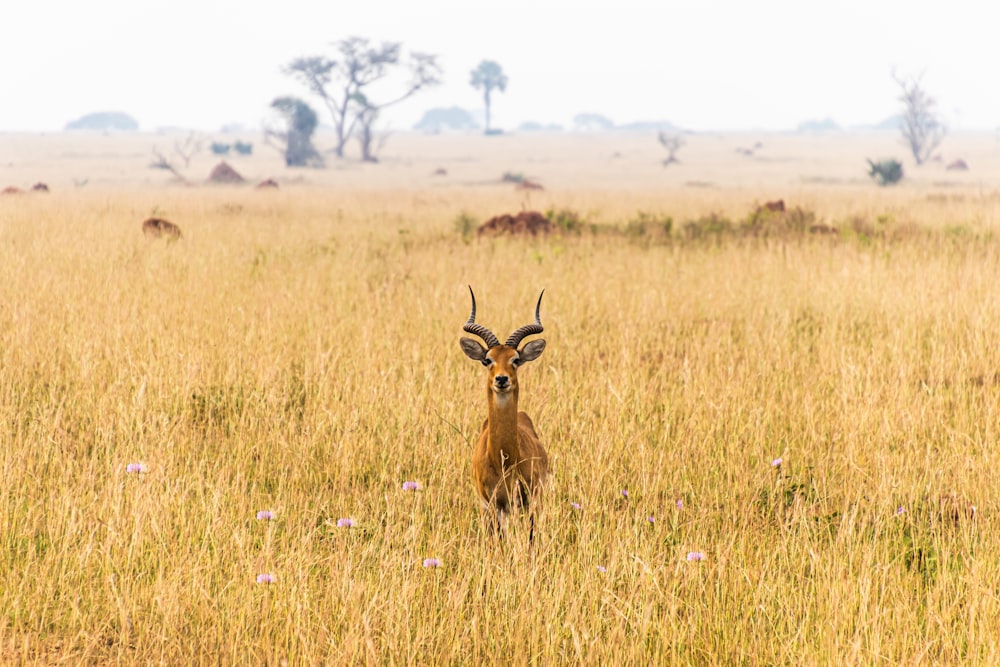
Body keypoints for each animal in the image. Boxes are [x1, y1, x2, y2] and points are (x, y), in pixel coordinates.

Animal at [458, 284, 548, 540]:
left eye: (515, 359)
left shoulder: (529, 501)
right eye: (487, 360)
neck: (503, 460)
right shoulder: (491, 505)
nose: (501, 379)